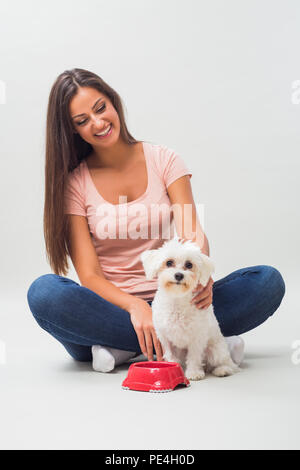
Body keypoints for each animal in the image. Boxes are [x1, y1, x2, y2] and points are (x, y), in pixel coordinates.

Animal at [140, 237, 239, 380]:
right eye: (169, 262)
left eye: (189, 265)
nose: (179, 275)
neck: (177, 300)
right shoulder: (165, 338)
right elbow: (170, 356)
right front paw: (173, 369)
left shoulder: (197, 337)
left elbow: (194, 356)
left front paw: (194, 372)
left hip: (216, 350)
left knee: (226, 363)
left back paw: (222, 370)